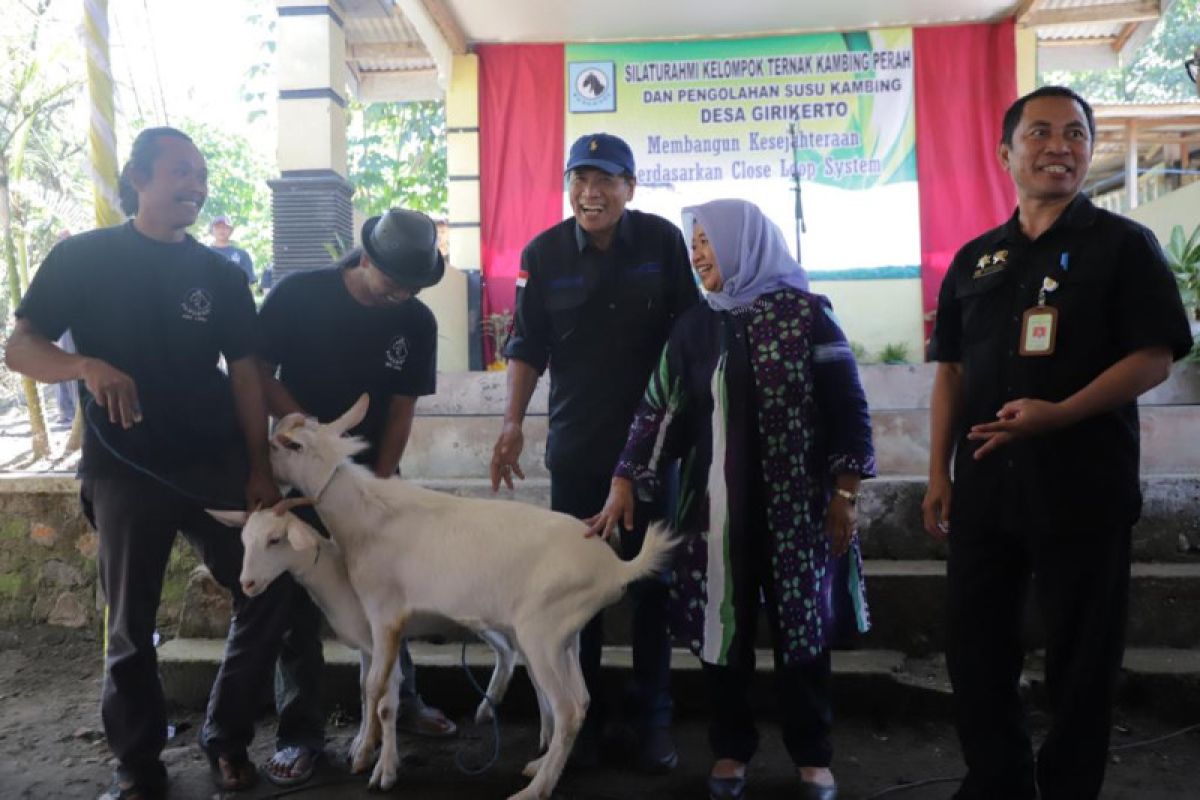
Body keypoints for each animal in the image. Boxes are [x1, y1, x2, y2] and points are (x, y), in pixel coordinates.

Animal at [211, 501, 520, 786]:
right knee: (508, 651)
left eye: (275, 539)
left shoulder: (385, 640)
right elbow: (364, 689)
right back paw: (486, 710)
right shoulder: (366, 643)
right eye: (243, 540)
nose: (247, 583)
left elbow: (385, 701)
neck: (337, 578)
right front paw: (363, 744)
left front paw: (383, 768)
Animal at [272, 398, 681, 800]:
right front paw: (367, 752)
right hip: (567, 634)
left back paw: (535, 789)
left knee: (567, 709)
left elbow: (375, 687)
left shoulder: (385, 613)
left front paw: (373, 766)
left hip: (541, 632)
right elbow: (373, 686)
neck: (364, 516)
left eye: (290, 445)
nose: (266, 450)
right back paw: (538, 767)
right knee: (581, 698)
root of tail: (616, 567)